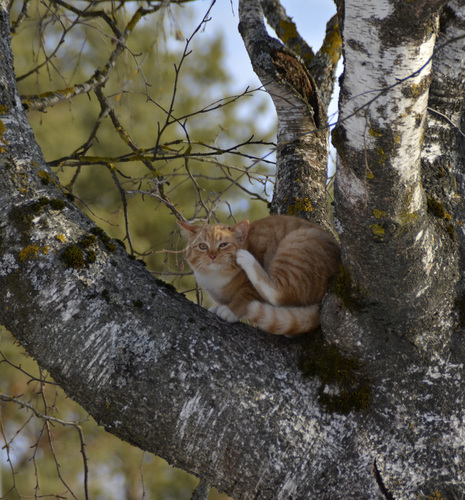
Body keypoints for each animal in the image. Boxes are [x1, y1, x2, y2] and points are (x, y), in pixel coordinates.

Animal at [179, 215, 338, 336]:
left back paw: (247, 258)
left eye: (223, 245)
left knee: (279, 292)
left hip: (296, 244)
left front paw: (230, 310)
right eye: (202, 246)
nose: (212, 256)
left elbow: (245, 295)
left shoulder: (250, 286)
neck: (215, 278)